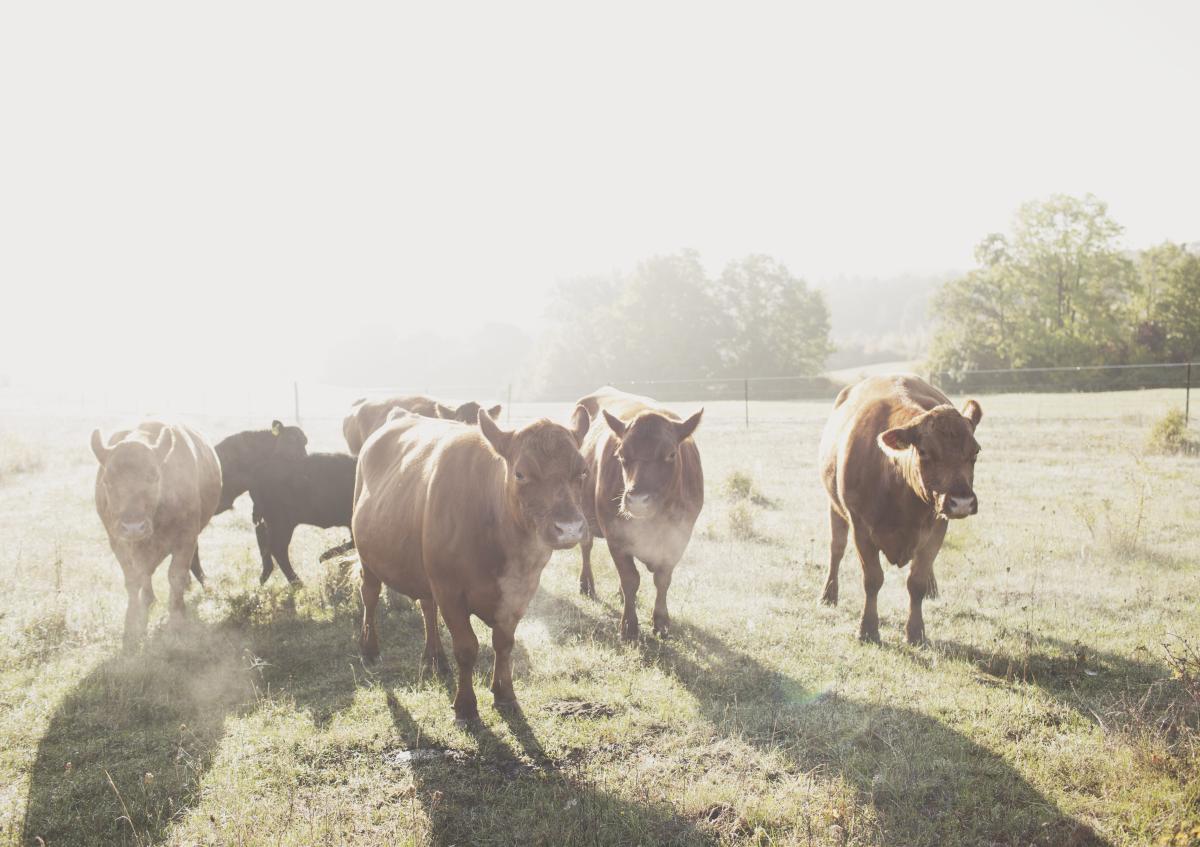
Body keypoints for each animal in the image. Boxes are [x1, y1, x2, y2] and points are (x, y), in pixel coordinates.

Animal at [91, 419, 223, 647]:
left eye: (153, 476)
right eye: (107, 481)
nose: (133, 527)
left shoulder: (186, 538)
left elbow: (175, 575)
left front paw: (177, 621)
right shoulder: (118, 543)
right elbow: (134, 579)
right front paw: (132, 621)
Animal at [350, 403, 590, 719]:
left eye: (583, 471)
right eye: (520, 474)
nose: (570, 528)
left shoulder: (520, 591)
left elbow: (504, 644)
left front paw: (505, 694)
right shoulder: (450, 590)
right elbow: (466, 648)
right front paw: (465, 706)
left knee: (427, 607)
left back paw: (435, 657)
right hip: (367, 555)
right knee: (370, 594)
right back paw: (369, 648)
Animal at [573, 386, 700, 638]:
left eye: (671, 454)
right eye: (621, 455)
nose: (638, 500)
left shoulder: (678, 538)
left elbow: (663, 579)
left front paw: (661, 621)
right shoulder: (615, 536)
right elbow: (631, 579)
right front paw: (629, 626)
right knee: (586, 548)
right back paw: (587, 584)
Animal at [816, 371, 984, 643]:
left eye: (976, 451)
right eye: (924, 451)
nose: (962, 502)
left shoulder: (937, 527)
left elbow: (916, 582)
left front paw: (916, 632)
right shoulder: (861, 527)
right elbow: (873, 579)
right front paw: (868, 629)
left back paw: (933, 590)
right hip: (835, 508)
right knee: (836, 549)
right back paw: (829, 594)